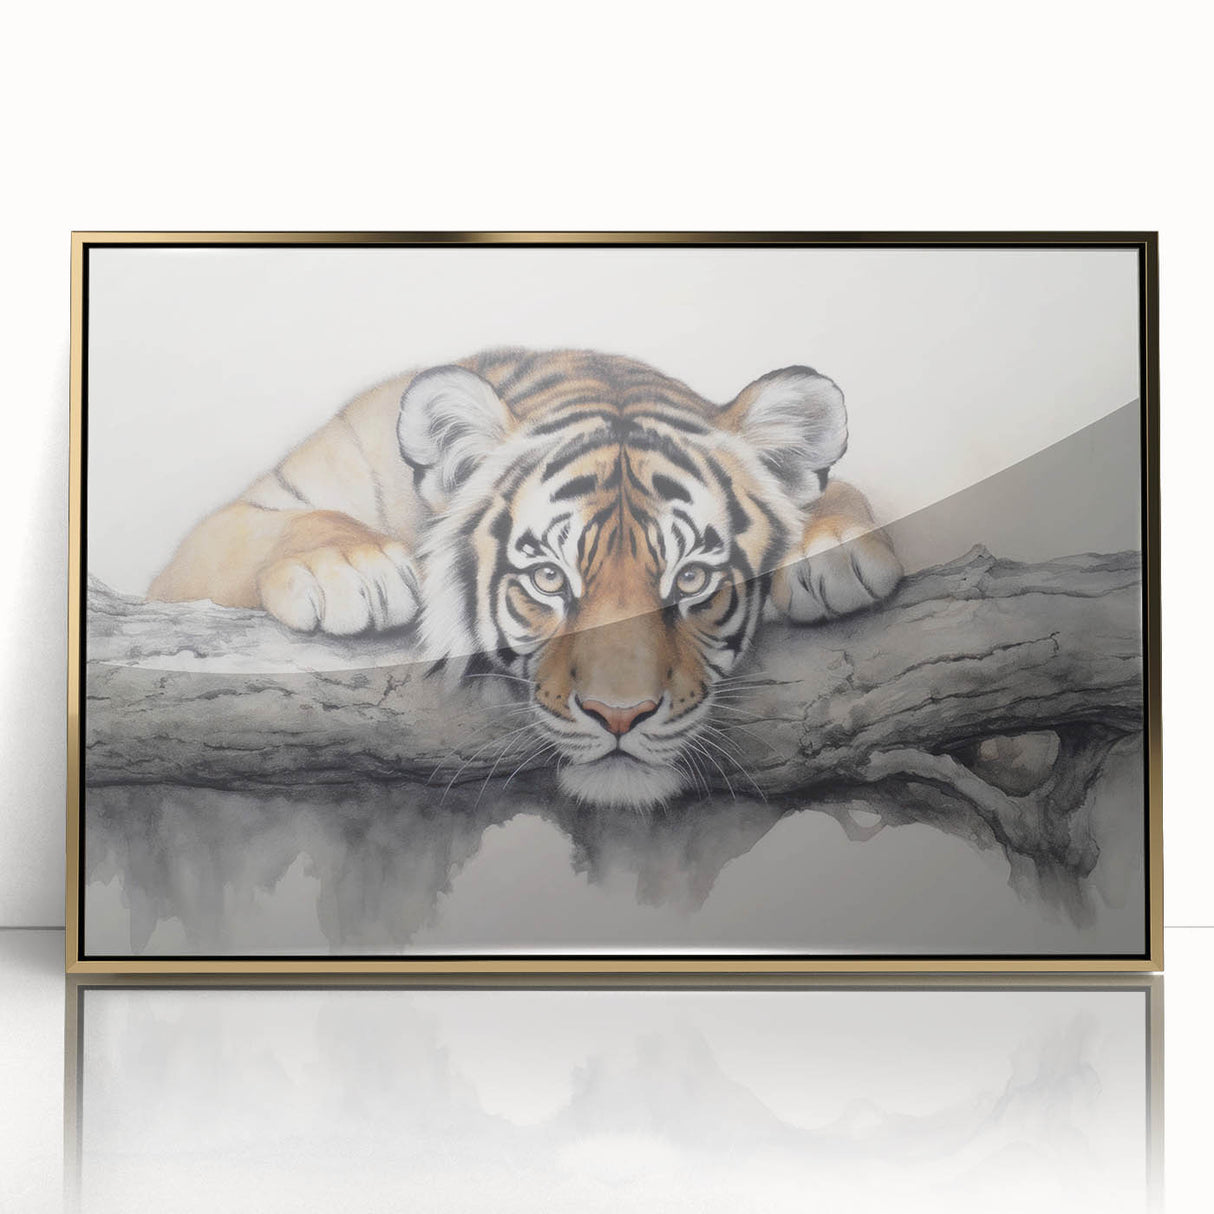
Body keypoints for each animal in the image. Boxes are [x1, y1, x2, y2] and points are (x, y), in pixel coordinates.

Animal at [149, 348, 902, 809]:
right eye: (547, 578)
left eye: (692, 579)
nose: (620, 715)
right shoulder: (215, 540)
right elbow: (292, 523)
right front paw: (351, 568)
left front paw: (833, 547)